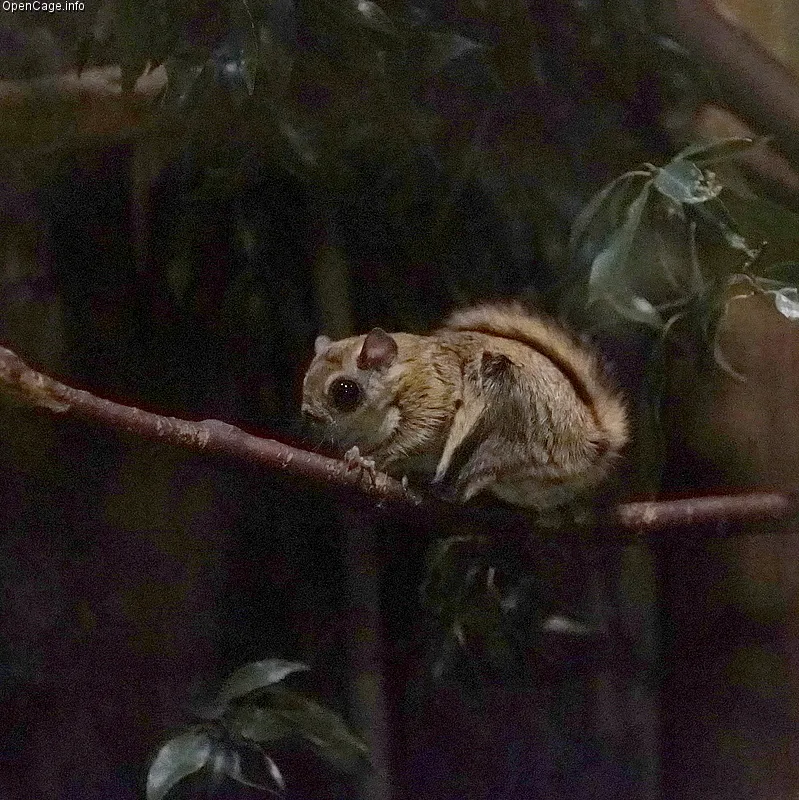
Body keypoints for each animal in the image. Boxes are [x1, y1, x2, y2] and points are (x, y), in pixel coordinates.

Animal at [301, 303, 628, 513]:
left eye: (344, 391)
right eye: (306, 379)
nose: (309, 415)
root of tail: (592, 440)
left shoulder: (432, 394)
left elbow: (416, 435)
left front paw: (367, 460)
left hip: (514, 425)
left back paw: (449, 487)